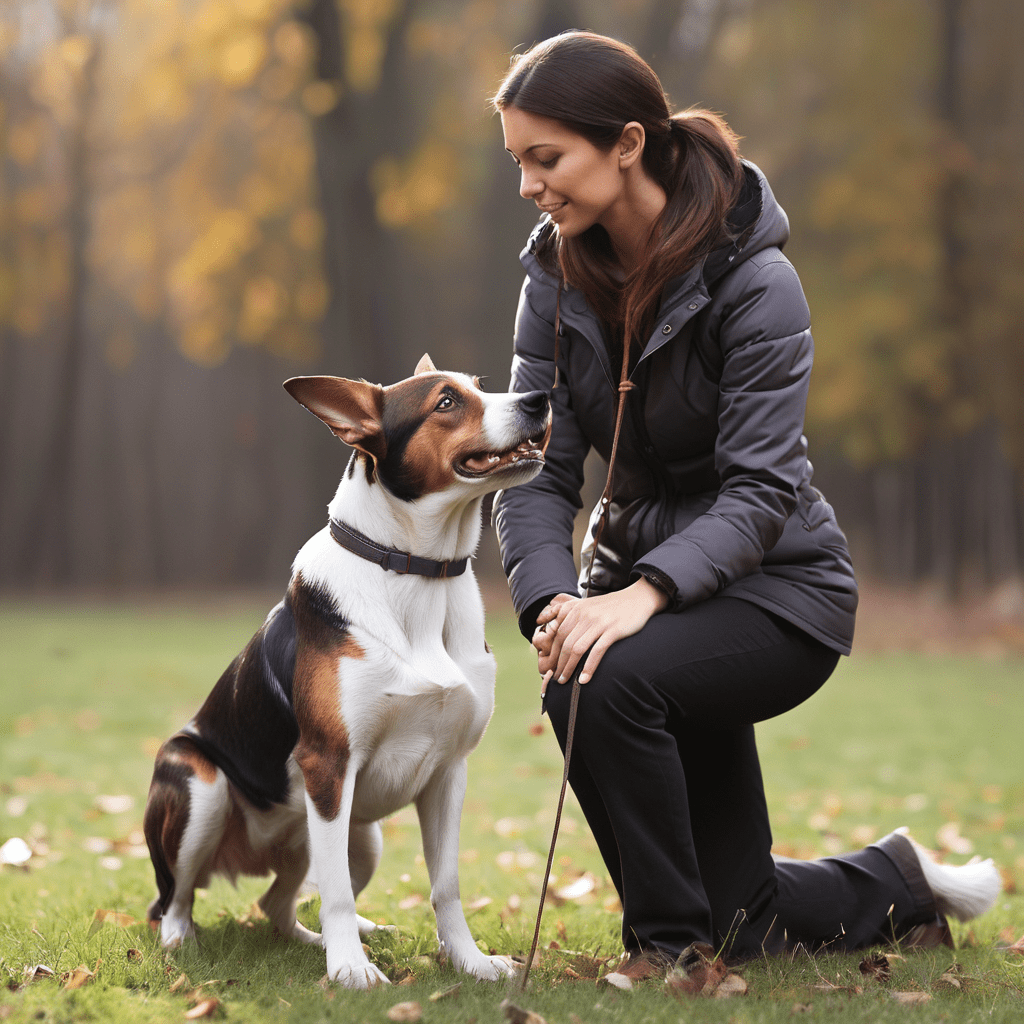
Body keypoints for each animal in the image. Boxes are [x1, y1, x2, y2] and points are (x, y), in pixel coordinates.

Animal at [144, 356, 552, 987]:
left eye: (483, 388)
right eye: (445, 402)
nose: (540, 398)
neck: (417, 571)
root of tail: (253, 854)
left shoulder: (449, 772)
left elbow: (446, 885)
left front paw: (470, 962)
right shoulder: (327, 761)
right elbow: (334, 892)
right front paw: (350, 973)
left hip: (363, 836)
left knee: (277, 905)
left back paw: (333, 937)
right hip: (201, 785)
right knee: (177, 898)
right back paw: (184, 942)